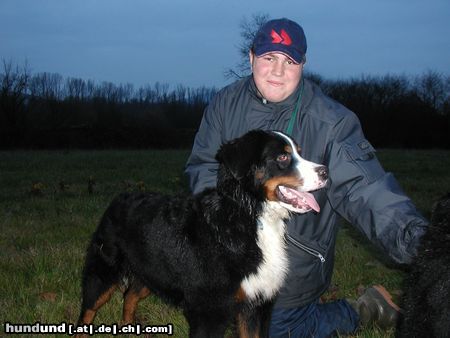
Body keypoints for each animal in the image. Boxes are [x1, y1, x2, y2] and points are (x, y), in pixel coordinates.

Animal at [77, 130, 328, 338]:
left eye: (299, 152)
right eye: (283, 157)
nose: (325, 172)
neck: (249, 217)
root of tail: (121, 197)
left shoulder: (256, 307)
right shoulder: (210, 311)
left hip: (150, 272)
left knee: (129, 296)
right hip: (104, 271)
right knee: (87, 313)